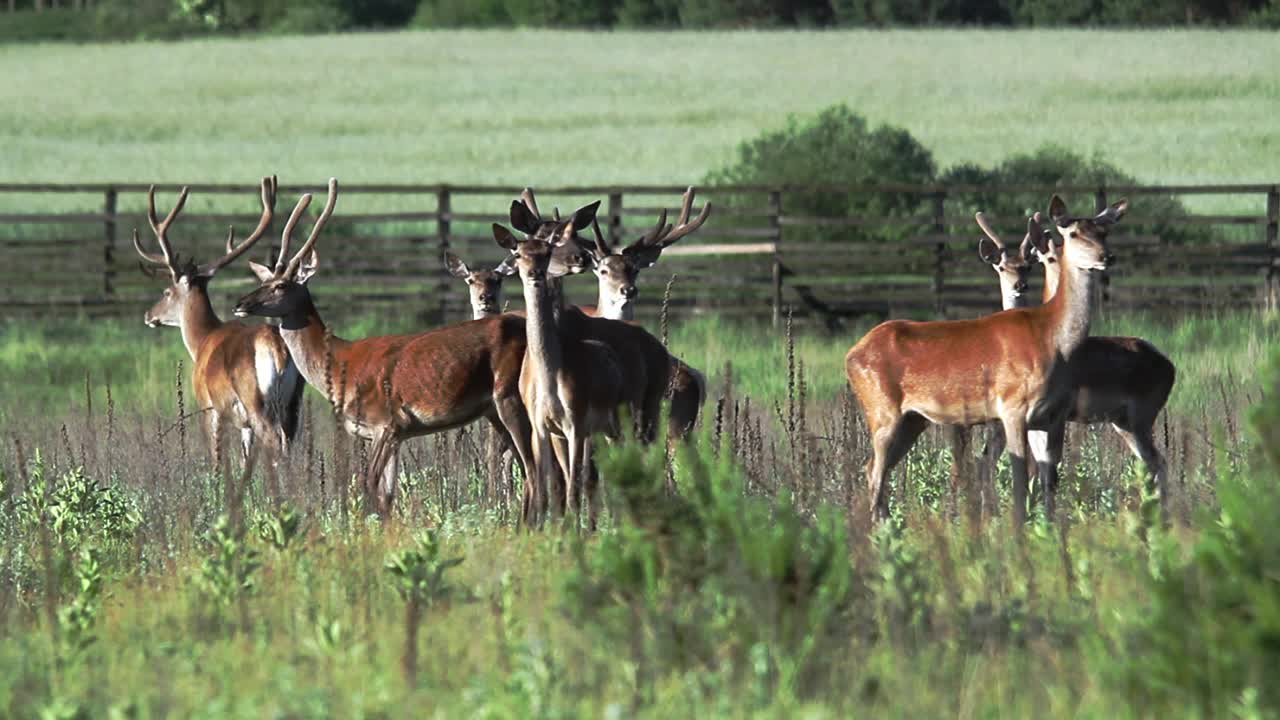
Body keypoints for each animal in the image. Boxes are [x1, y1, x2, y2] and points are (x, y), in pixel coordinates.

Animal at [135, 176, 304, 461]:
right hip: (294, 402)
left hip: (256, 400)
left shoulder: (209, 407)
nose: (149, 315)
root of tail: (278, 351)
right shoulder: (244, 424)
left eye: (166, 292)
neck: (203, 340)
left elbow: (216, 457)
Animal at [230, 178, 540, 515]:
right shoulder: (396, 433)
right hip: (494, 410)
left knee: (534, 468)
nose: (240, 304)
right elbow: (389, 495)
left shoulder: (386, 422)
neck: (339, 366)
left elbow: (368, 486)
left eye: (280, 285)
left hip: (512, 396)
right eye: (262, 281)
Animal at [849, 193, 1131, 525]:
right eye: (1073, 233)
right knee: (875, 471)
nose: (1106, 256)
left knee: (875, 468)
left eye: (1104, 232)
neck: (1052, 339)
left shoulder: (1053, 415)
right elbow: (1018, 478)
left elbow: (1049, 478)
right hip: (880, 408)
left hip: (913, 419)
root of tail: (852, 354)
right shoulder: (1011, 407)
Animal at [977, 210, 1177, 512]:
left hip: (1142, 415)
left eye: (1027, 267)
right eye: (1001, 267)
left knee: (1159, 465)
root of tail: (1170, 365)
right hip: (1124, 421)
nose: (1019, 285)